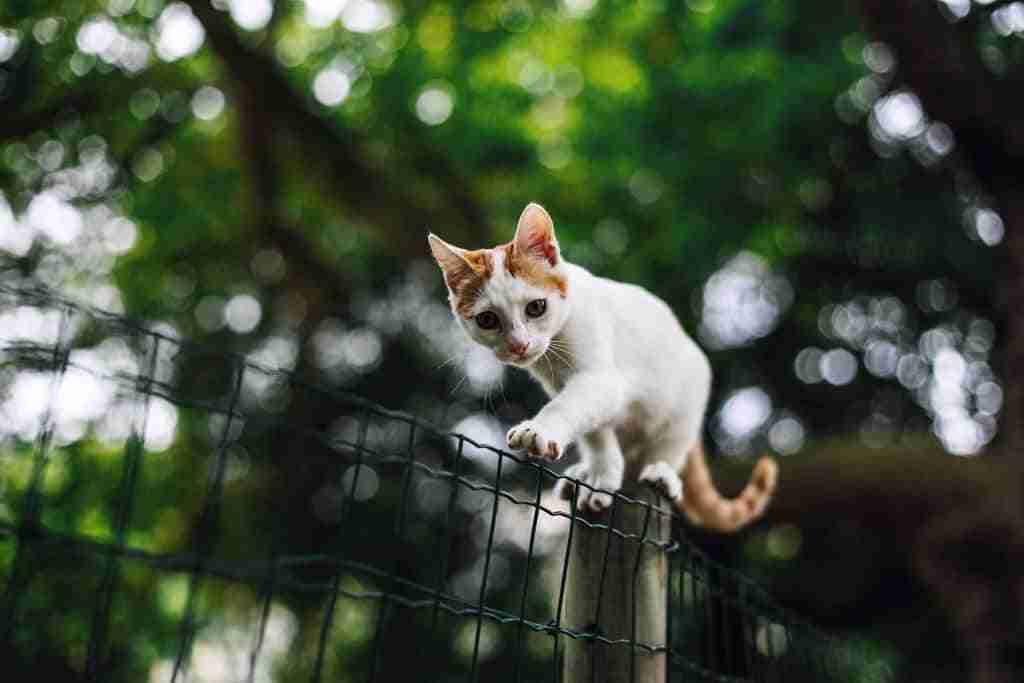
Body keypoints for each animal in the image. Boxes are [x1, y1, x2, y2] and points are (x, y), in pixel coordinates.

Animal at [425, 200, 774, 532]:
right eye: (487, 320)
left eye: (536, 308)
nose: (519, 345)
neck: (555, 351)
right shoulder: (566, 385)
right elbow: (595, 431)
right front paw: (601, 472)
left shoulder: (601, 379)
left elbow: (569, 406)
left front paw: (541, 429)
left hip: (685, 402)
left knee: (672, 443)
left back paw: (662, 472)